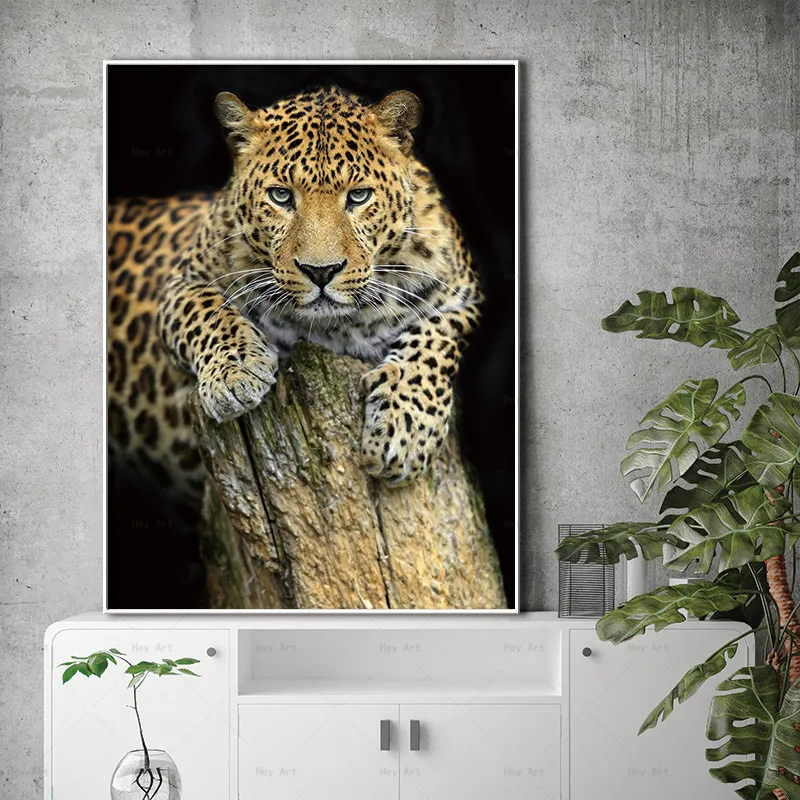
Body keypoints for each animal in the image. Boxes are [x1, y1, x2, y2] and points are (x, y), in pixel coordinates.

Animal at [107, 85, 483, 511]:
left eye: (359, 196)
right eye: (281, 196)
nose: (321, 271)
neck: (335, 329)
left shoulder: (463, 294)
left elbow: (435, 342)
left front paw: (404, 429)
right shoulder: (182, 283)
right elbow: (207, 313)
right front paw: (236, 374)